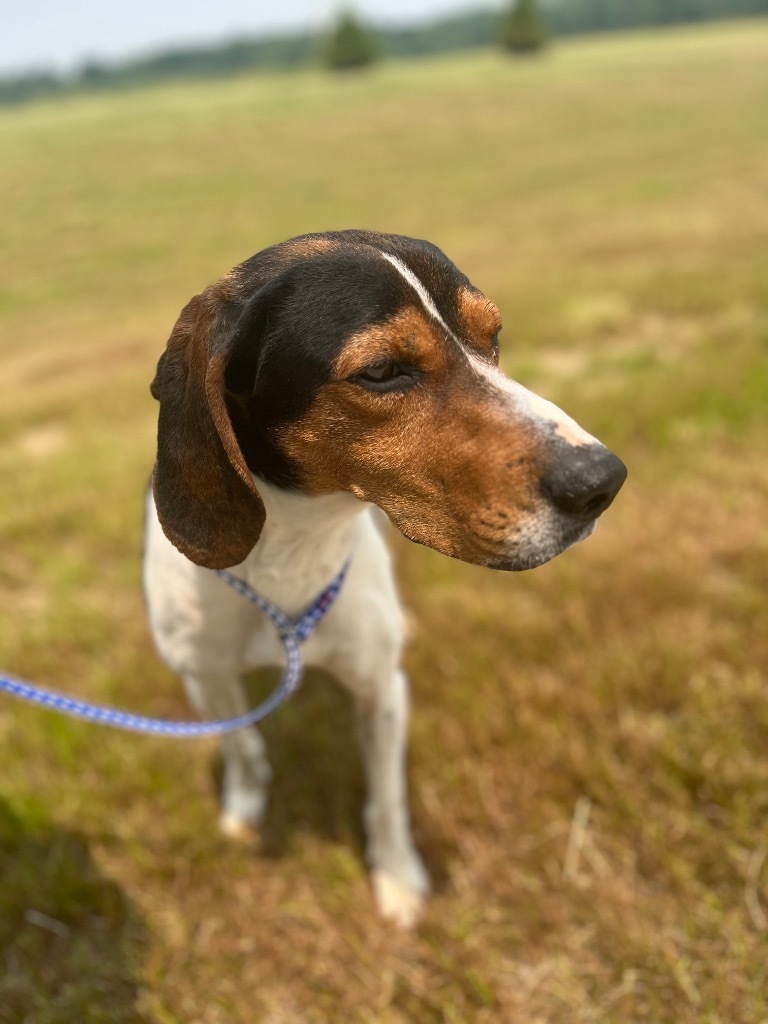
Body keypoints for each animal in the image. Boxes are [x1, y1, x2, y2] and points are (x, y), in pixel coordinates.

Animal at [143, 230, 626, 929]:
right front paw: (244, 808)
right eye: (378, 372)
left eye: (495, 336)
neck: (291, 555)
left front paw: (398, 878)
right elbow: (243, 749)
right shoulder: (203, 679)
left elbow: (387, 799)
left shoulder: (382, 689)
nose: (604, 482)